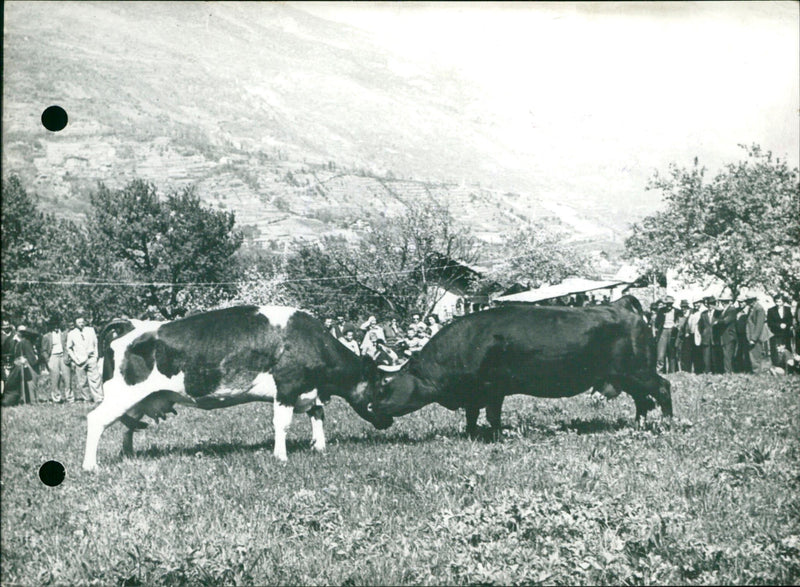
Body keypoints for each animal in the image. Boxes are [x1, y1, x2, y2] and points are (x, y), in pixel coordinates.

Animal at [82, 305, 393, 471]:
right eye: (381, 386)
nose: (389, 421)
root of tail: (131, 324)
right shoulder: (287, 387)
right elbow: (282, 424)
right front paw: (281, 456)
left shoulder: (309, 391)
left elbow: (318, 414)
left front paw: (319, 446)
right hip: (123, 393)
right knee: (96, 420)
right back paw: (91, 465)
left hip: (137, 398)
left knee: (128, 425)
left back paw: (128, 454)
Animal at [370, 296, 673, 439]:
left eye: (384, 385)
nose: (371, 410)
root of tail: (621, 305)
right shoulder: (475, 393)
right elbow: (471, 416)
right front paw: (470, 434)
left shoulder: (493, 389)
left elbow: (492, 416)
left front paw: (496, 436)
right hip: (626, 376)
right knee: (642, 401)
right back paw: (638, 425)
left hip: (638, 371)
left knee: (662, 388)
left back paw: (667, 423)